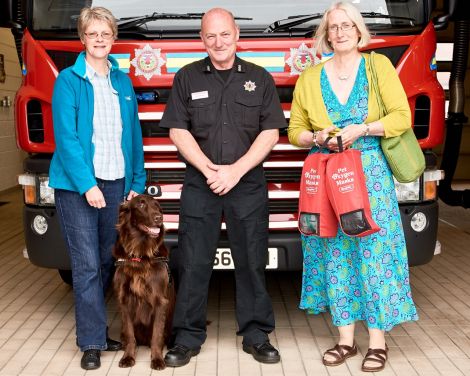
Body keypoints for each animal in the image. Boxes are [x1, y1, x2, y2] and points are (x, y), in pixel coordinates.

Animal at [113, 195, 174, 368]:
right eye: (141, 205)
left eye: (158, 206)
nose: (159, 218)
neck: (141, 254)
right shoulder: (124, 300)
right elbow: (130, 334)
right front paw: (128, 357)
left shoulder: (160, 301)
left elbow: (157, 335)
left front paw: (157, 359)